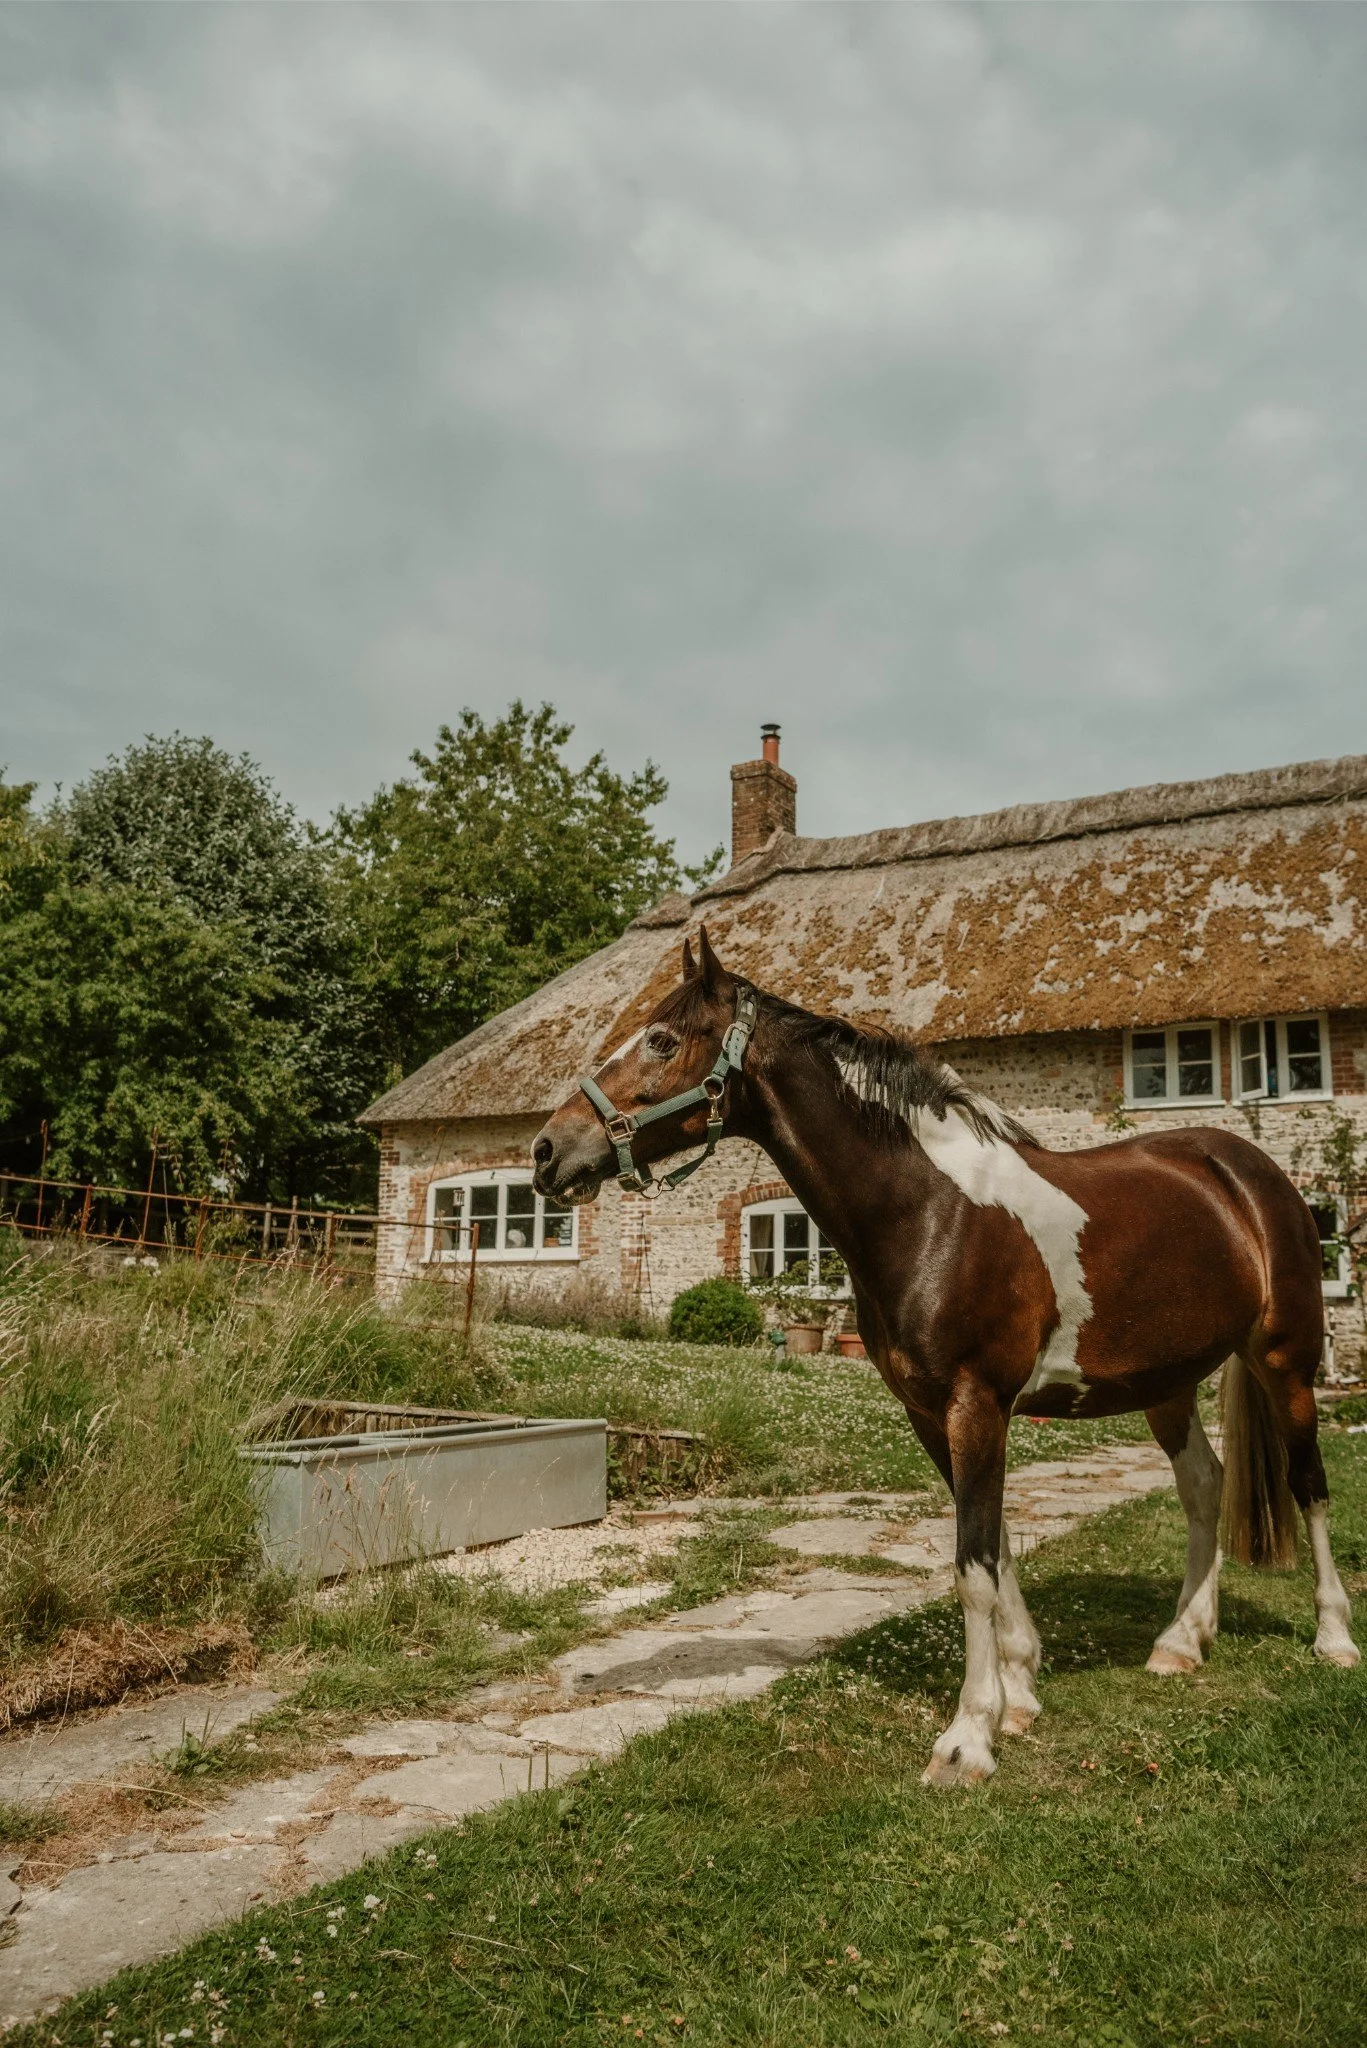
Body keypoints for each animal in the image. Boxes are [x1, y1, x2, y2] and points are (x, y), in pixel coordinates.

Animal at [532, 927, 1360, 1787]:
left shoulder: (977, 1405)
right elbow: (992, 1549)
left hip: (1285, 1362)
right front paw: (1017, 1689)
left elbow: (971, 1565)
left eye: (661, 1040)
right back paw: (1180, 1641)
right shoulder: (930, 1414)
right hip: (1165, 1382)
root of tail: (1246, 1172)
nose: (547, 1151)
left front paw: (967, 1738)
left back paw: (1332, 1638)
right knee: (1203, 1486)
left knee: (1308, 1485)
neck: (931, 1212)